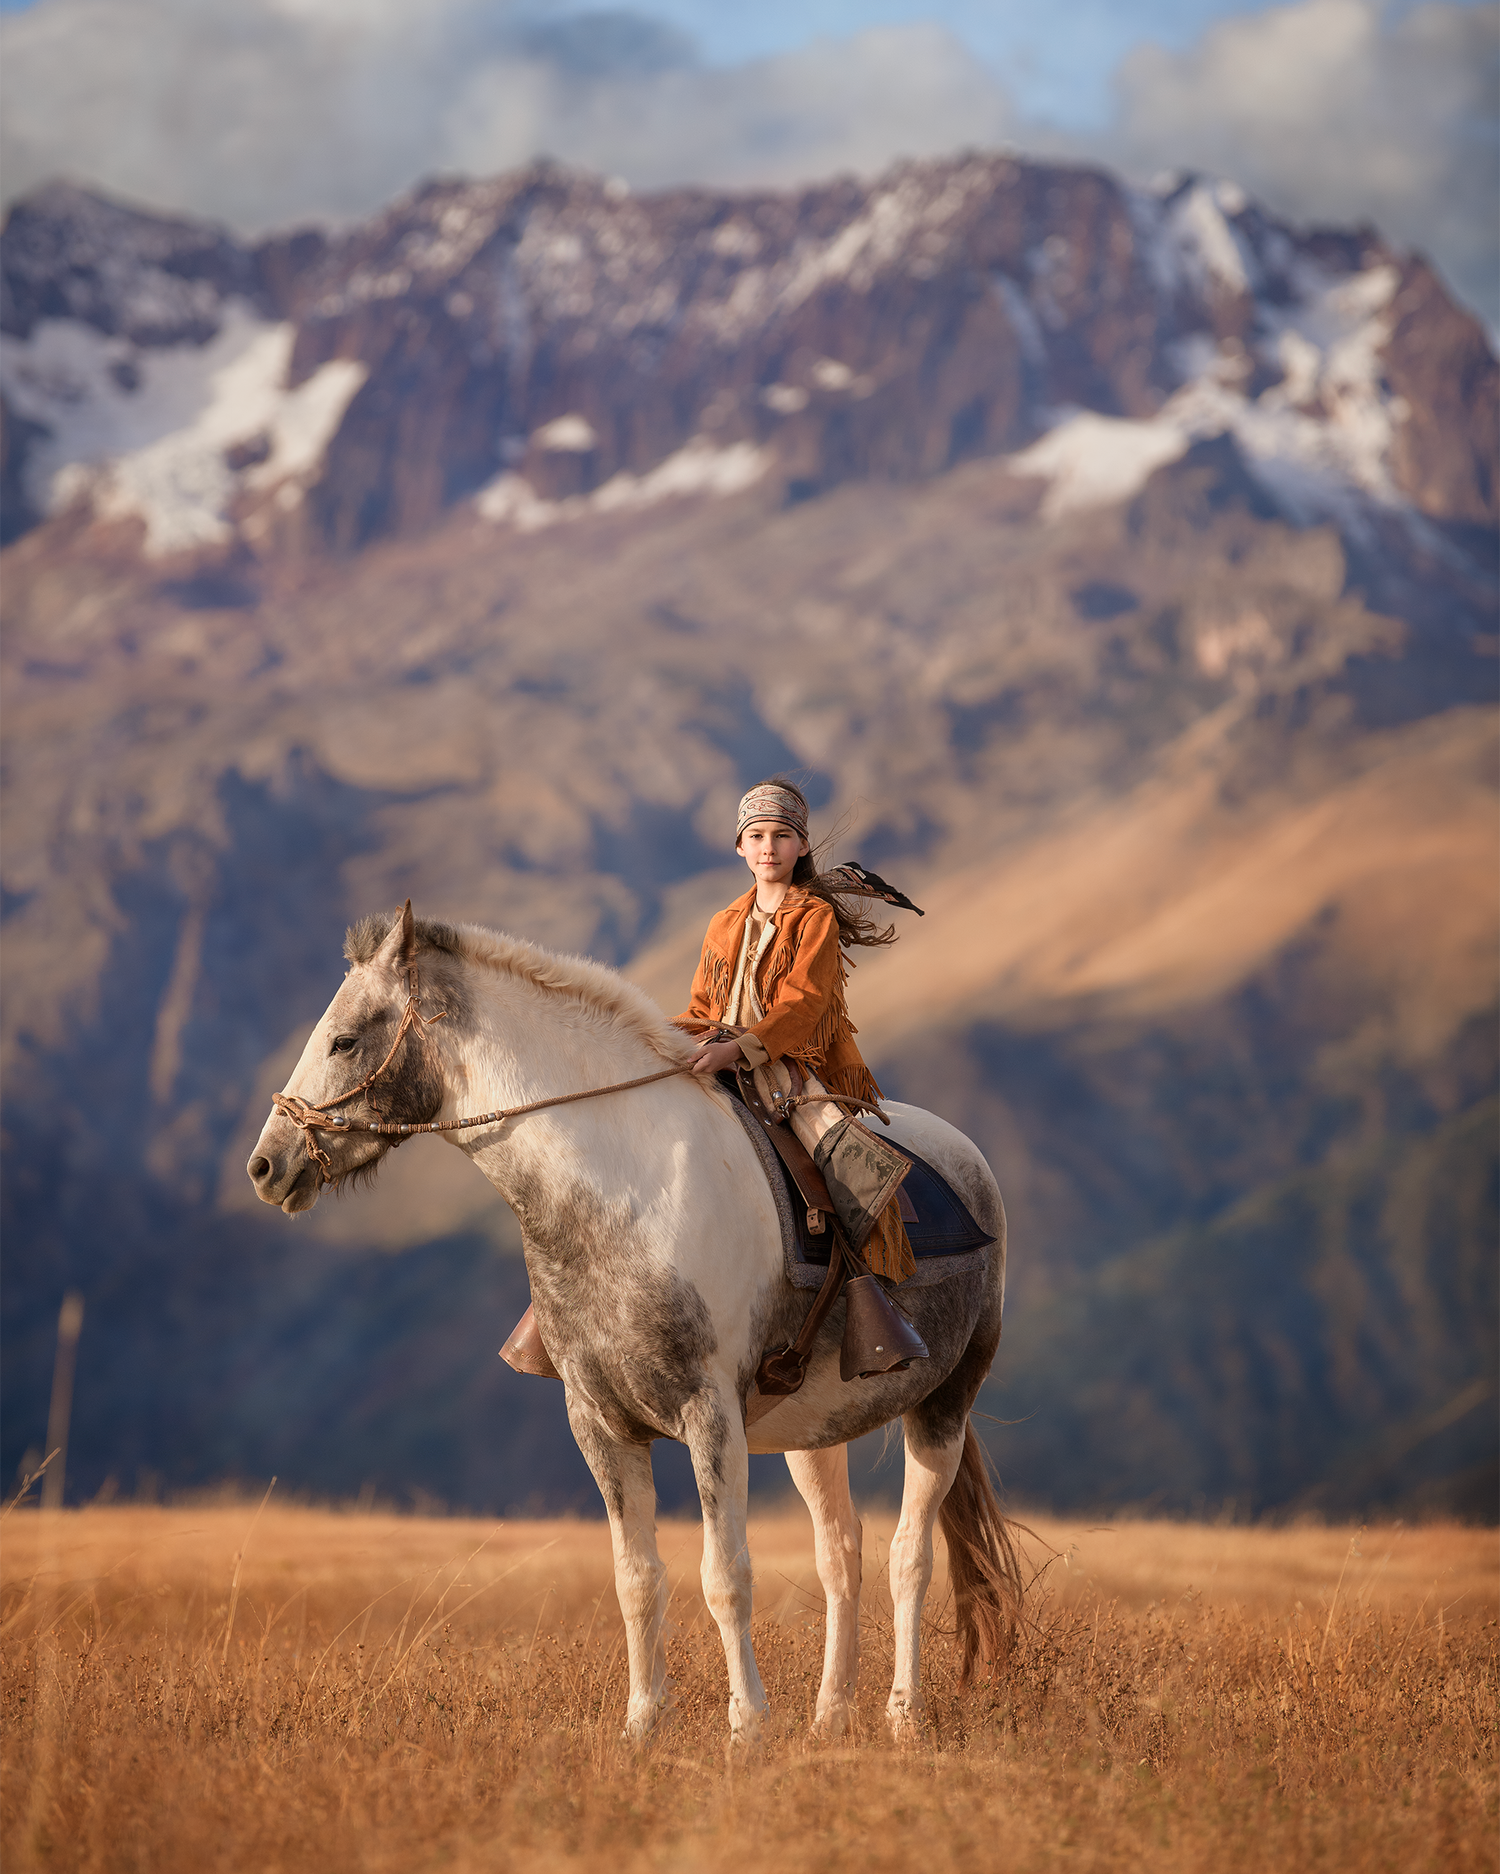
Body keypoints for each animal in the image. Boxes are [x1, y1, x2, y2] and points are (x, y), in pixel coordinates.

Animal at [247, 901, 1022, 1744]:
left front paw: (747, 1727)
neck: (626, 1192)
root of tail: (969, 1158)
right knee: (839, 1555)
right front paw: (644, 1725)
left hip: (943, 1406)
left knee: (909, 1554)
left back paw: (903, 1716)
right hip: (814, 1436)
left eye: (345, 1040)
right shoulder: (601, 1425)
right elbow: (636, 1579)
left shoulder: (711, 1417)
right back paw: (829, 1716)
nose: (266, 1165)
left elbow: (724, 1576)